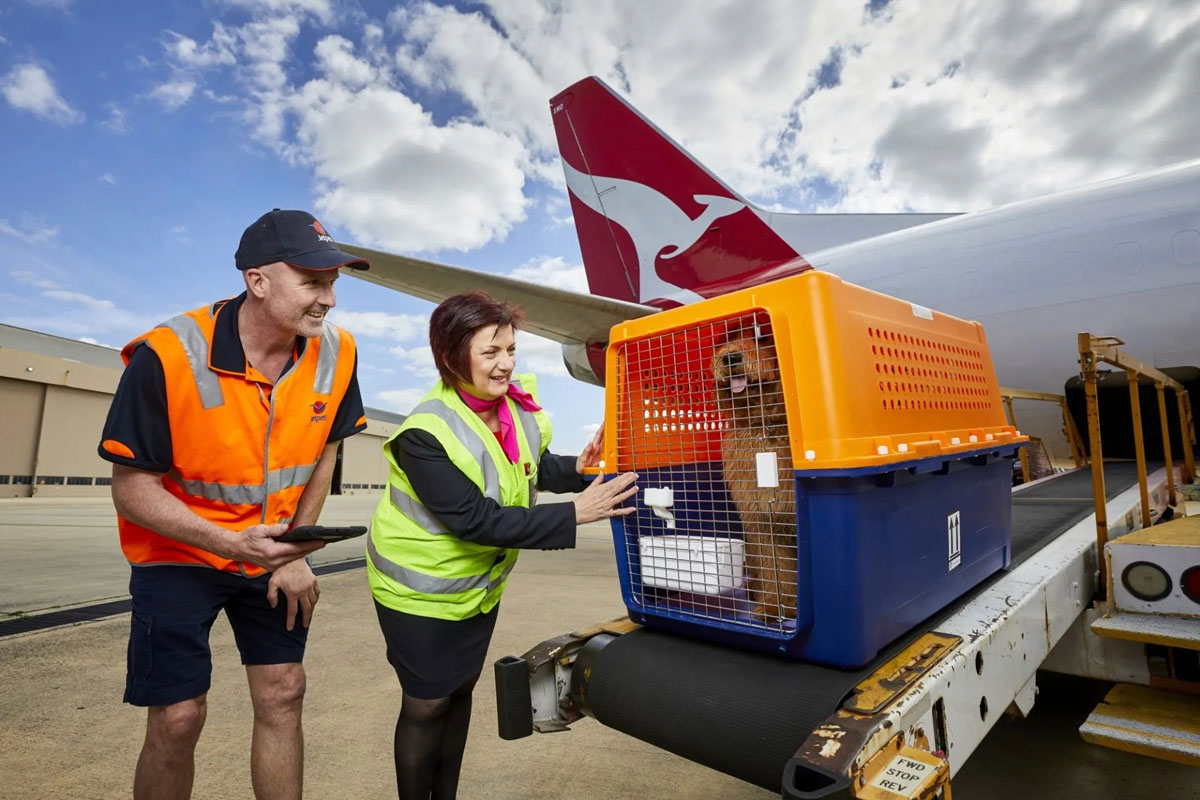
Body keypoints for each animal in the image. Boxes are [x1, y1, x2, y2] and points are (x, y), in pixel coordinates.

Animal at [710, 328, 796, 623]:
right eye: (731, 335)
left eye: (762, 337)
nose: (731, 357)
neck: (764, 424)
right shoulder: (762, 517)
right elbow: (776, 569)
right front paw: (775, 607)